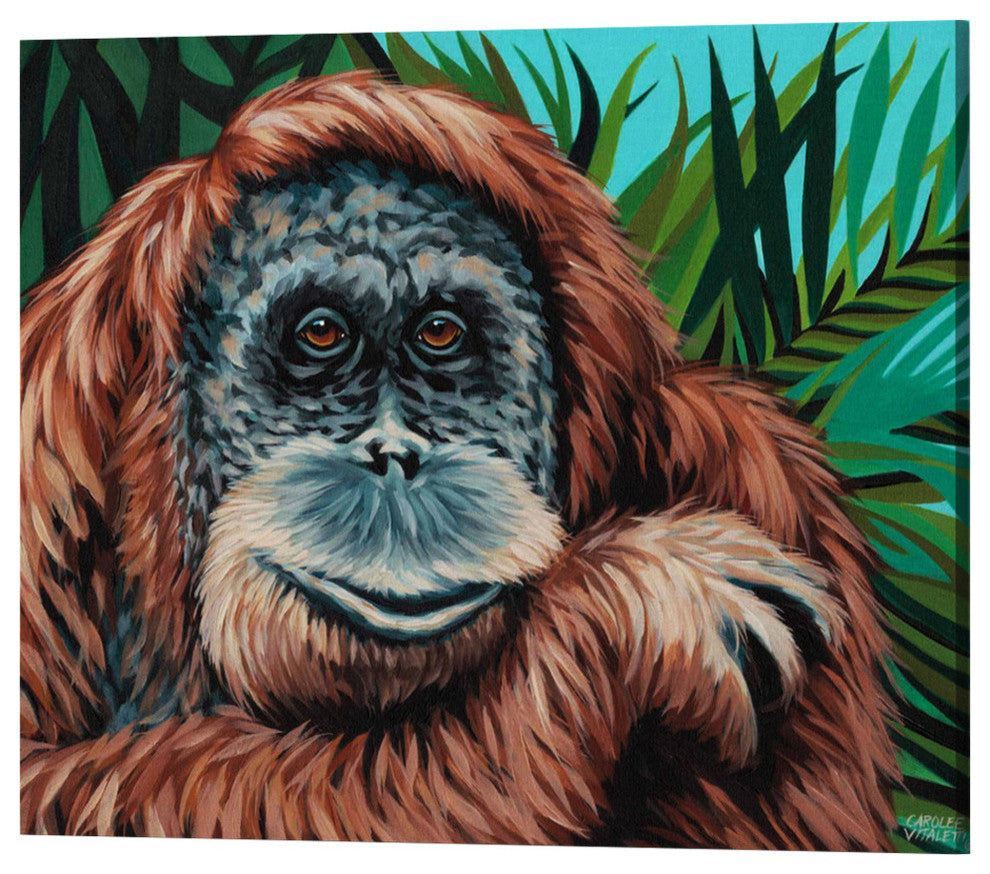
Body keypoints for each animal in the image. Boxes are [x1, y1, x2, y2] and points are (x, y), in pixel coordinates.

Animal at [21, 71, 898, 847]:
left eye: (440, 334)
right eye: (320, 335)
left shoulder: (750, 461)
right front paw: (628, 605)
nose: (394, 457)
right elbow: (50, 782)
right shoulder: (42, 461)